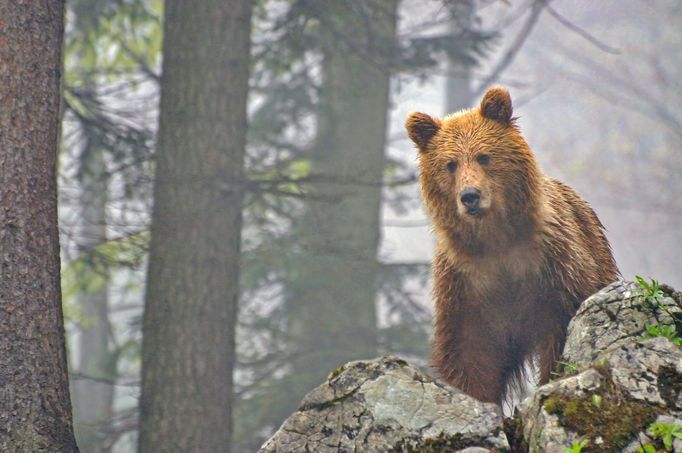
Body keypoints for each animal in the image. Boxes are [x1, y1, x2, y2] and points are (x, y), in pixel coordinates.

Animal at [406, 87, 620, 402]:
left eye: (483, 157)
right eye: (450, 164)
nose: (470, 196)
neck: (497, 241)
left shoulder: (554, 268)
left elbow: (561, 338)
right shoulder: (467, 285)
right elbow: (470, 356)